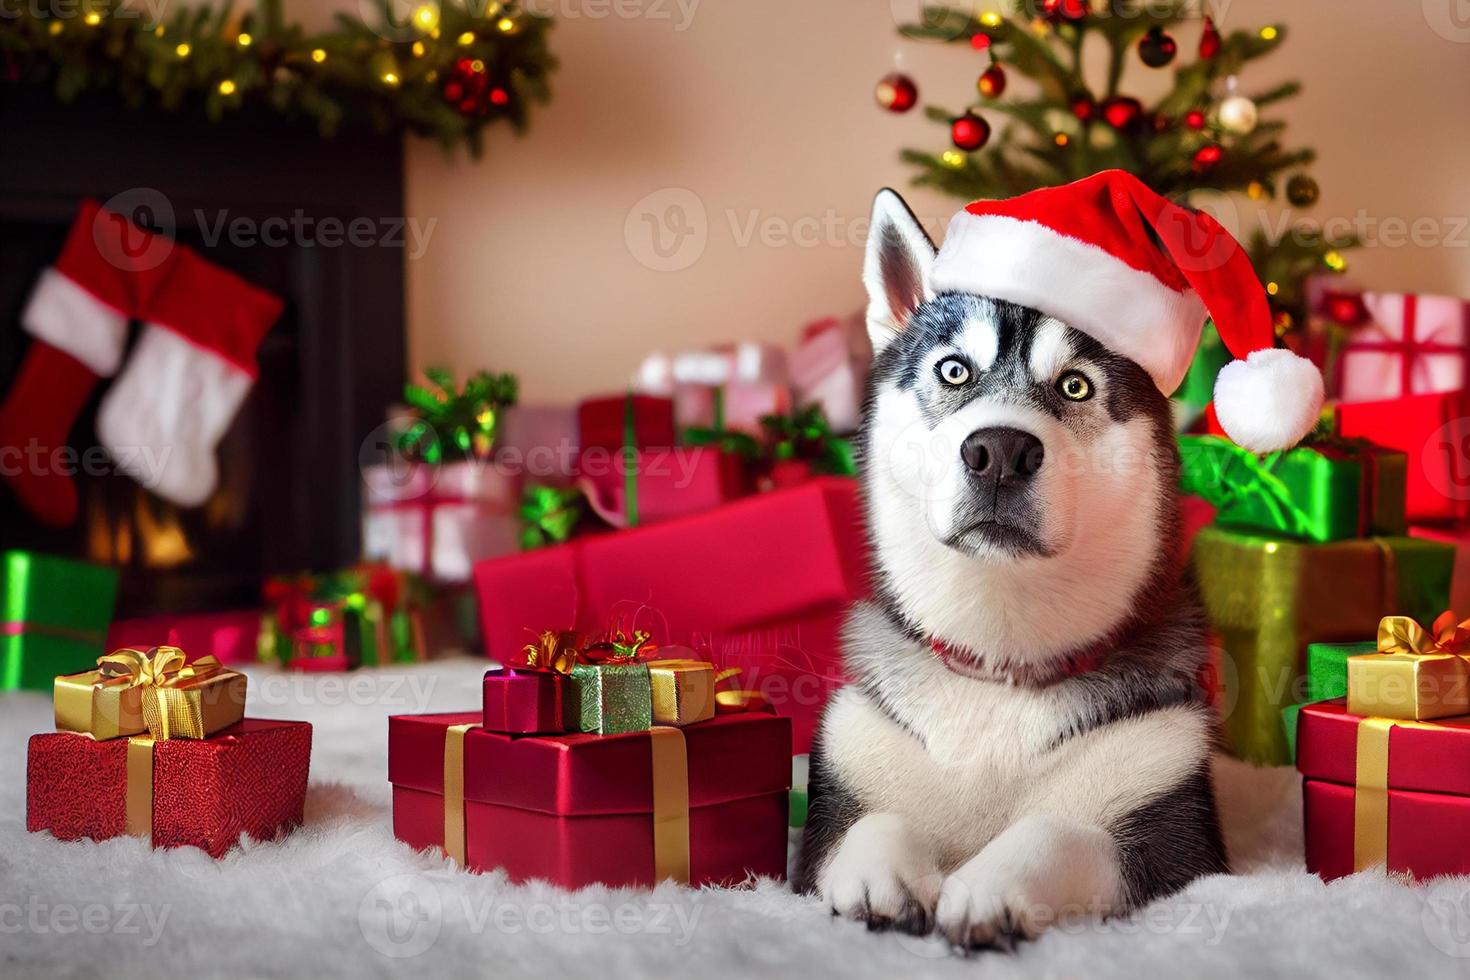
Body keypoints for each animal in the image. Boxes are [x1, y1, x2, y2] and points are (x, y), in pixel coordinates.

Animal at [793, 189, 1228, 952]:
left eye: (1076, 386)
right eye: (954, 370)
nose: (998, 450)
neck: (1000, 664)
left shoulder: (1178, 830)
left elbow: (1059, 832)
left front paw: (992, 884)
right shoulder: (831, 801)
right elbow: (865, 825)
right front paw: (880, 869)